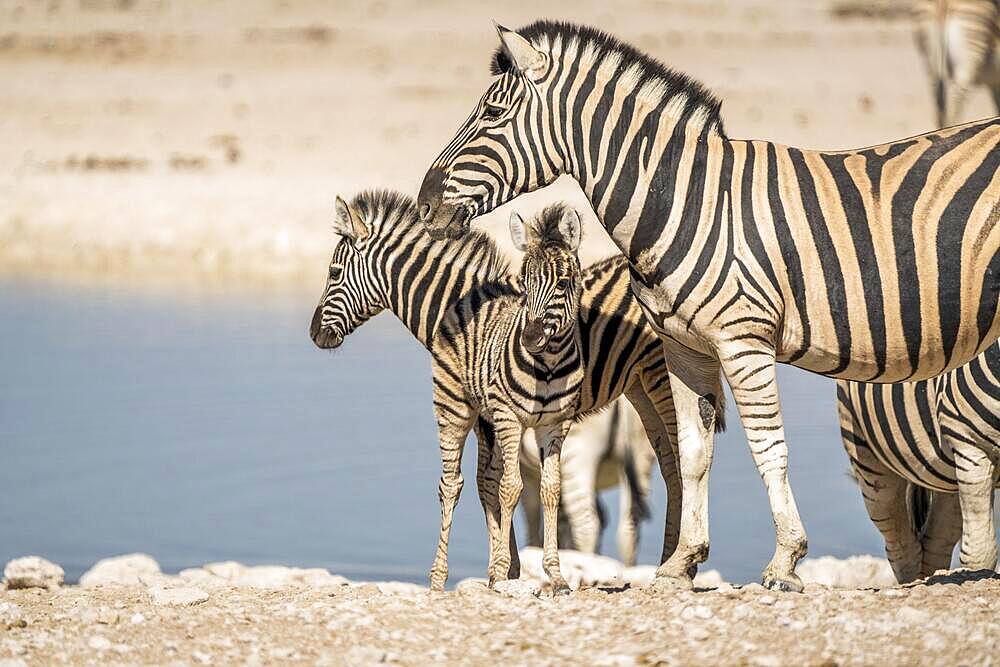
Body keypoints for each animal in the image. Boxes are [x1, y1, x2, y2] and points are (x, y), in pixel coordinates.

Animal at [308, 192, 724, 588]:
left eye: (333, 272)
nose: (314, 335)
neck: (459, 305)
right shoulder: (490, 413)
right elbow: (492, 484)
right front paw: (509, 568)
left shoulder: (486, 414)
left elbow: (490, 484)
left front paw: (504, 569)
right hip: (639, 391)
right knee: (665, 472)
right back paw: (671, 561)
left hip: (656, 381)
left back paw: (677, 563)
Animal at [840, 342, 996, 580]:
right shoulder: (971, 449)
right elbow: (980, 555)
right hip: (867, 456)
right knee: (902, 546)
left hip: (947, 474)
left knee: (935, 542)